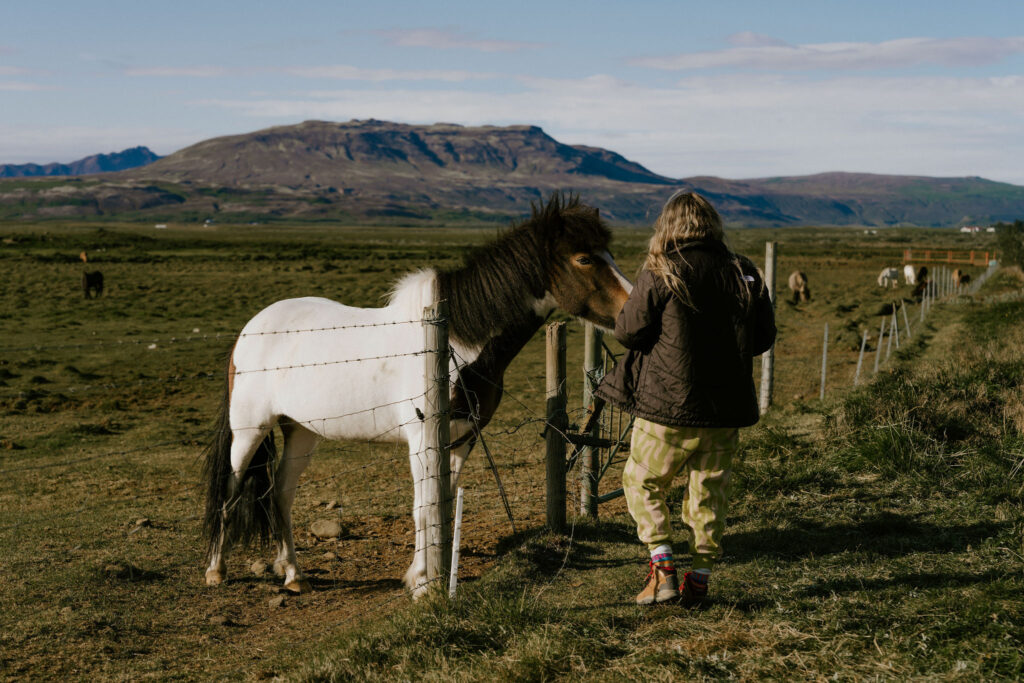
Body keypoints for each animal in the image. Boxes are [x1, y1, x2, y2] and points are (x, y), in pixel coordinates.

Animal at [199, 193, 630, 598]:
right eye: (583, 258)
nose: (633, 309)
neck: (456, 341)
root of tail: (251, 328)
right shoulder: (423, 440)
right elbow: (423, 508)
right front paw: (423, 583)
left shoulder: (462, 438)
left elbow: (442, 504)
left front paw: (433, 576)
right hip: (249, 431)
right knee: (230, 491)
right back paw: (216, 571)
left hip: (302, 431)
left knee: (280, 496)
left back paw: (293, 574)